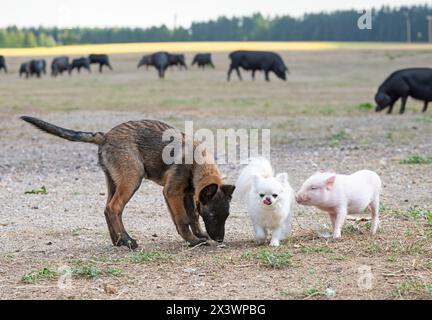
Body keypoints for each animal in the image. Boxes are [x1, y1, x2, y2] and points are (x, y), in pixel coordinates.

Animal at [21, 116, 235, 249]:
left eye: (226, 216)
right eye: (212, 215)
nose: (220, 238)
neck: (197, 162)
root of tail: (105, 136)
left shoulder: (188, 194)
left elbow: (192, 217)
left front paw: (199, 235)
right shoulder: (172, 192)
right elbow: (182, 219)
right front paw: (192, 241)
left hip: (114, 181)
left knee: (108, 208)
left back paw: (118, 241)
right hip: (132, 178)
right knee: (114, 207)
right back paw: (128, 241)